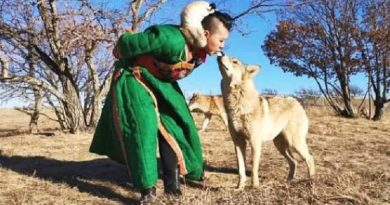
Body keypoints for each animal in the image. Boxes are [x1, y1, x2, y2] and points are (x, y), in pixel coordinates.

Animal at [218, 54, 316, 189]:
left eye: (235, 61)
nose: (220, 54)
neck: (238, 104)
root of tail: (296, 101)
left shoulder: (255, 143)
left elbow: (254, 169)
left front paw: (255, 187)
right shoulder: (238, 143)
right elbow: (241, 170)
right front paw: (240, 188)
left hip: (294, 143)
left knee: (310, 158)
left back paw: (311, 182)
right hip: (280, 146)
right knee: (294, 162)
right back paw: (288, 182)